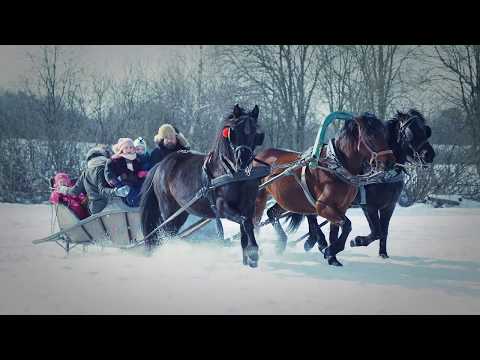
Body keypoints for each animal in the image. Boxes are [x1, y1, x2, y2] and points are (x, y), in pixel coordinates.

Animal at [139, 104, 266, 268]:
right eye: (233, 131)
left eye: (257, 134)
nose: (242, 160)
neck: (233, 173)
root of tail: (161, 164)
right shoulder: (221, 206)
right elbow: (245, 222)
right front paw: (253, 252)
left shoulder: (248, 205)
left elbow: (246, 226)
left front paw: (248, 259)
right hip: (169, 209)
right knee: (166, 232)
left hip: (182, 211)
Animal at [253, 114, 396, 266]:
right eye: (370, 135)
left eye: (385, 134)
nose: (390, 162)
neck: (335, 167)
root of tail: (259, 156)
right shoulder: (323, 206)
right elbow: (347, 225)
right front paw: (330, 250)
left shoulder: (341, 207)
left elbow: (335, 232)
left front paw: (332, 257)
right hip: (260, 198)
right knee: (255, 221)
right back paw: (255, 250)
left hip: (288, 201)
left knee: (272, 213)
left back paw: (281, 243)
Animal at [270, 109, 436, 258]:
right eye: (410, 131)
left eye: (425, 130)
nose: (429, 155)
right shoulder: (368, 206)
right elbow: (376, 231)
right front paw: (357, 241)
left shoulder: (389, 206)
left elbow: (384, 231)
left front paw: (383, 254)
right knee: (310, 217)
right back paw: (317, 242)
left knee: (307, 216)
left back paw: (313, 241)